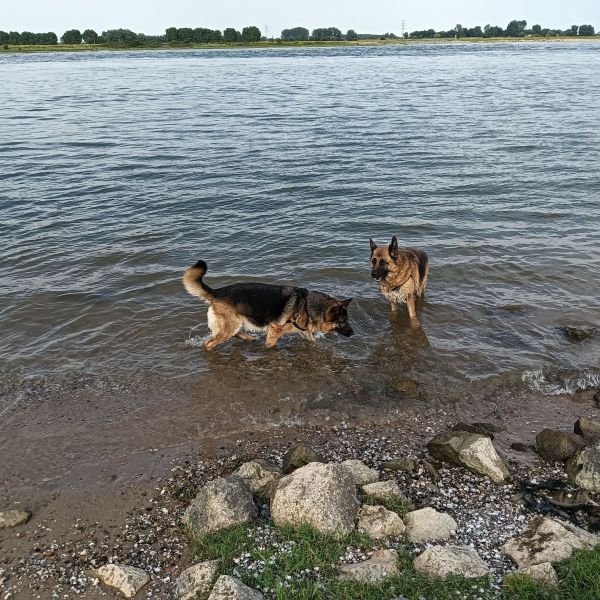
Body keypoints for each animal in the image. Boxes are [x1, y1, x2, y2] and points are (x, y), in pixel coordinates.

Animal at [180, 258, 354, 352]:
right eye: (343, 321)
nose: (353, 334)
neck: (306, 306)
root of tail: (216, 292)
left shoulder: (305, 333)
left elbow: (313, 342)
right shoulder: (275, 330)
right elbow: (270, 344)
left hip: (234, 324)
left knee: (232, 334)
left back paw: (248, 337)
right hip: (231, 325)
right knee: (208, 343)